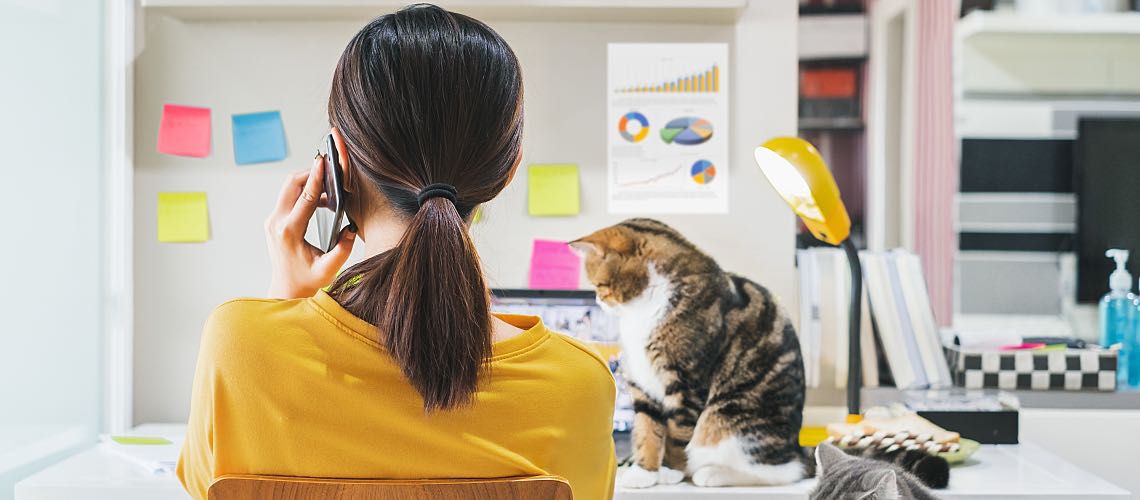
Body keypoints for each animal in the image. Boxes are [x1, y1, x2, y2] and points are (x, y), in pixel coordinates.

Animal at [570, 218, 811, 489]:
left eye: (600, 285)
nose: (598, 301)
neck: (642, 311)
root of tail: (796, 446)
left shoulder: (685, 381)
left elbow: (678, 432)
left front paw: (670, 471)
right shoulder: (642, 383)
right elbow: (646, 428)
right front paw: (644, 473)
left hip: (726, 419)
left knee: (782, 471)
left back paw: (712, 473)